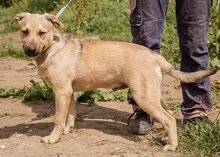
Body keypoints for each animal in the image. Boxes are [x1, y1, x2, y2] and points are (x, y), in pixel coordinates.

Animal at [14, 12, 217, 151]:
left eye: (42, 33)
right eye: (24, 32)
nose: (30, 50)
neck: (53, 48)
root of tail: (153, 55)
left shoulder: (61, 92)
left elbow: (57, 118)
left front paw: (53, 138)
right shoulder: (68, 92)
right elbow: (69, 115)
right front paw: (66, 130)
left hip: (143, 96)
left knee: (169, 119)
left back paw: (172, 146)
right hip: (151, 95)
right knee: (169, 115)